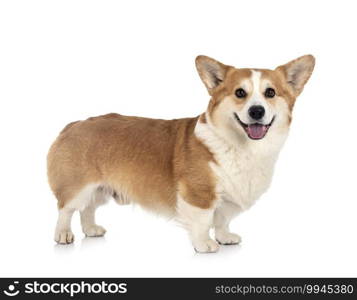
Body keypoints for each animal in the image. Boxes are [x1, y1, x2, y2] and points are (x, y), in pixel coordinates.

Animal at [47, 55, 314, 252]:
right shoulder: (199, 194)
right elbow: (203, 221)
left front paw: (224, 237)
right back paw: (63, 234)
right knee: (66, 209)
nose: (257, 111)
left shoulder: (226, 198)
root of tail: (74, 124)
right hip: (78, 187)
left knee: (88, 209)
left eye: (270, 93)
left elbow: (222, 219)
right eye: (240, 93)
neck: (239, 146)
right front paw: (204, 244)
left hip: (100, 189)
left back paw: (91, 230)